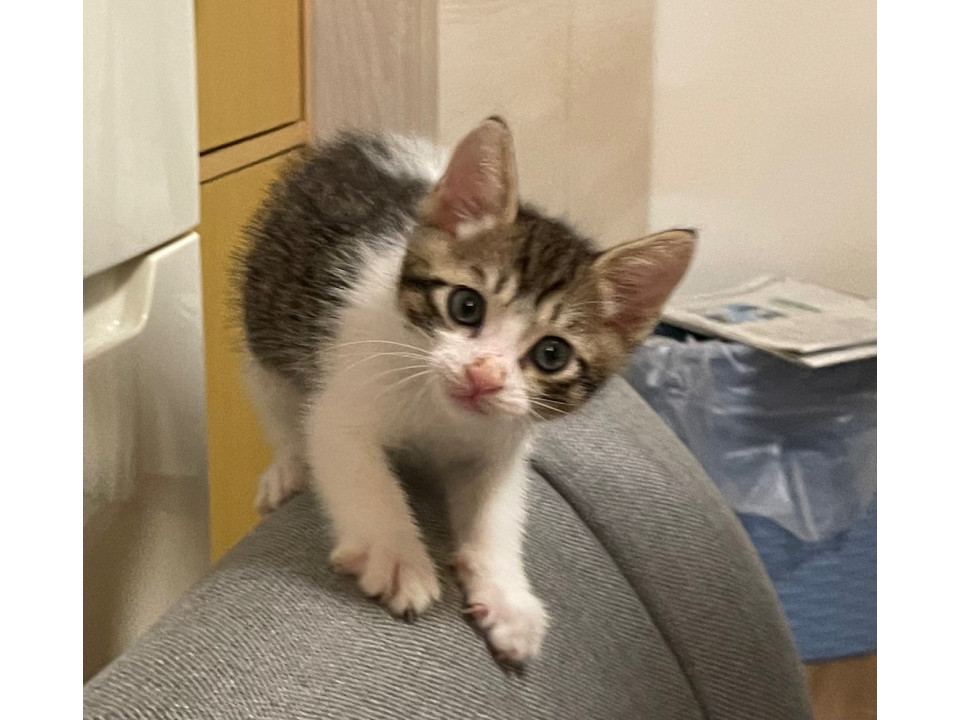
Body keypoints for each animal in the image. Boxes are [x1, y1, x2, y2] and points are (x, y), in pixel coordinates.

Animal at [238, 117, 695, 663]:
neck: (442, 415)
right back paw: (287, 467)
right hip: (265, 315)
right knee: (279, 400)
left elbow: (498, 511)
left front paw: (507, 596)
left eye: (552, 354)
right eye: (466, 306)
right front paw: (396, 554)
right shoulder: (345, 400)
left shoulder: (501, 441)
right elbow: (359, 469)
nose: (484, 375)